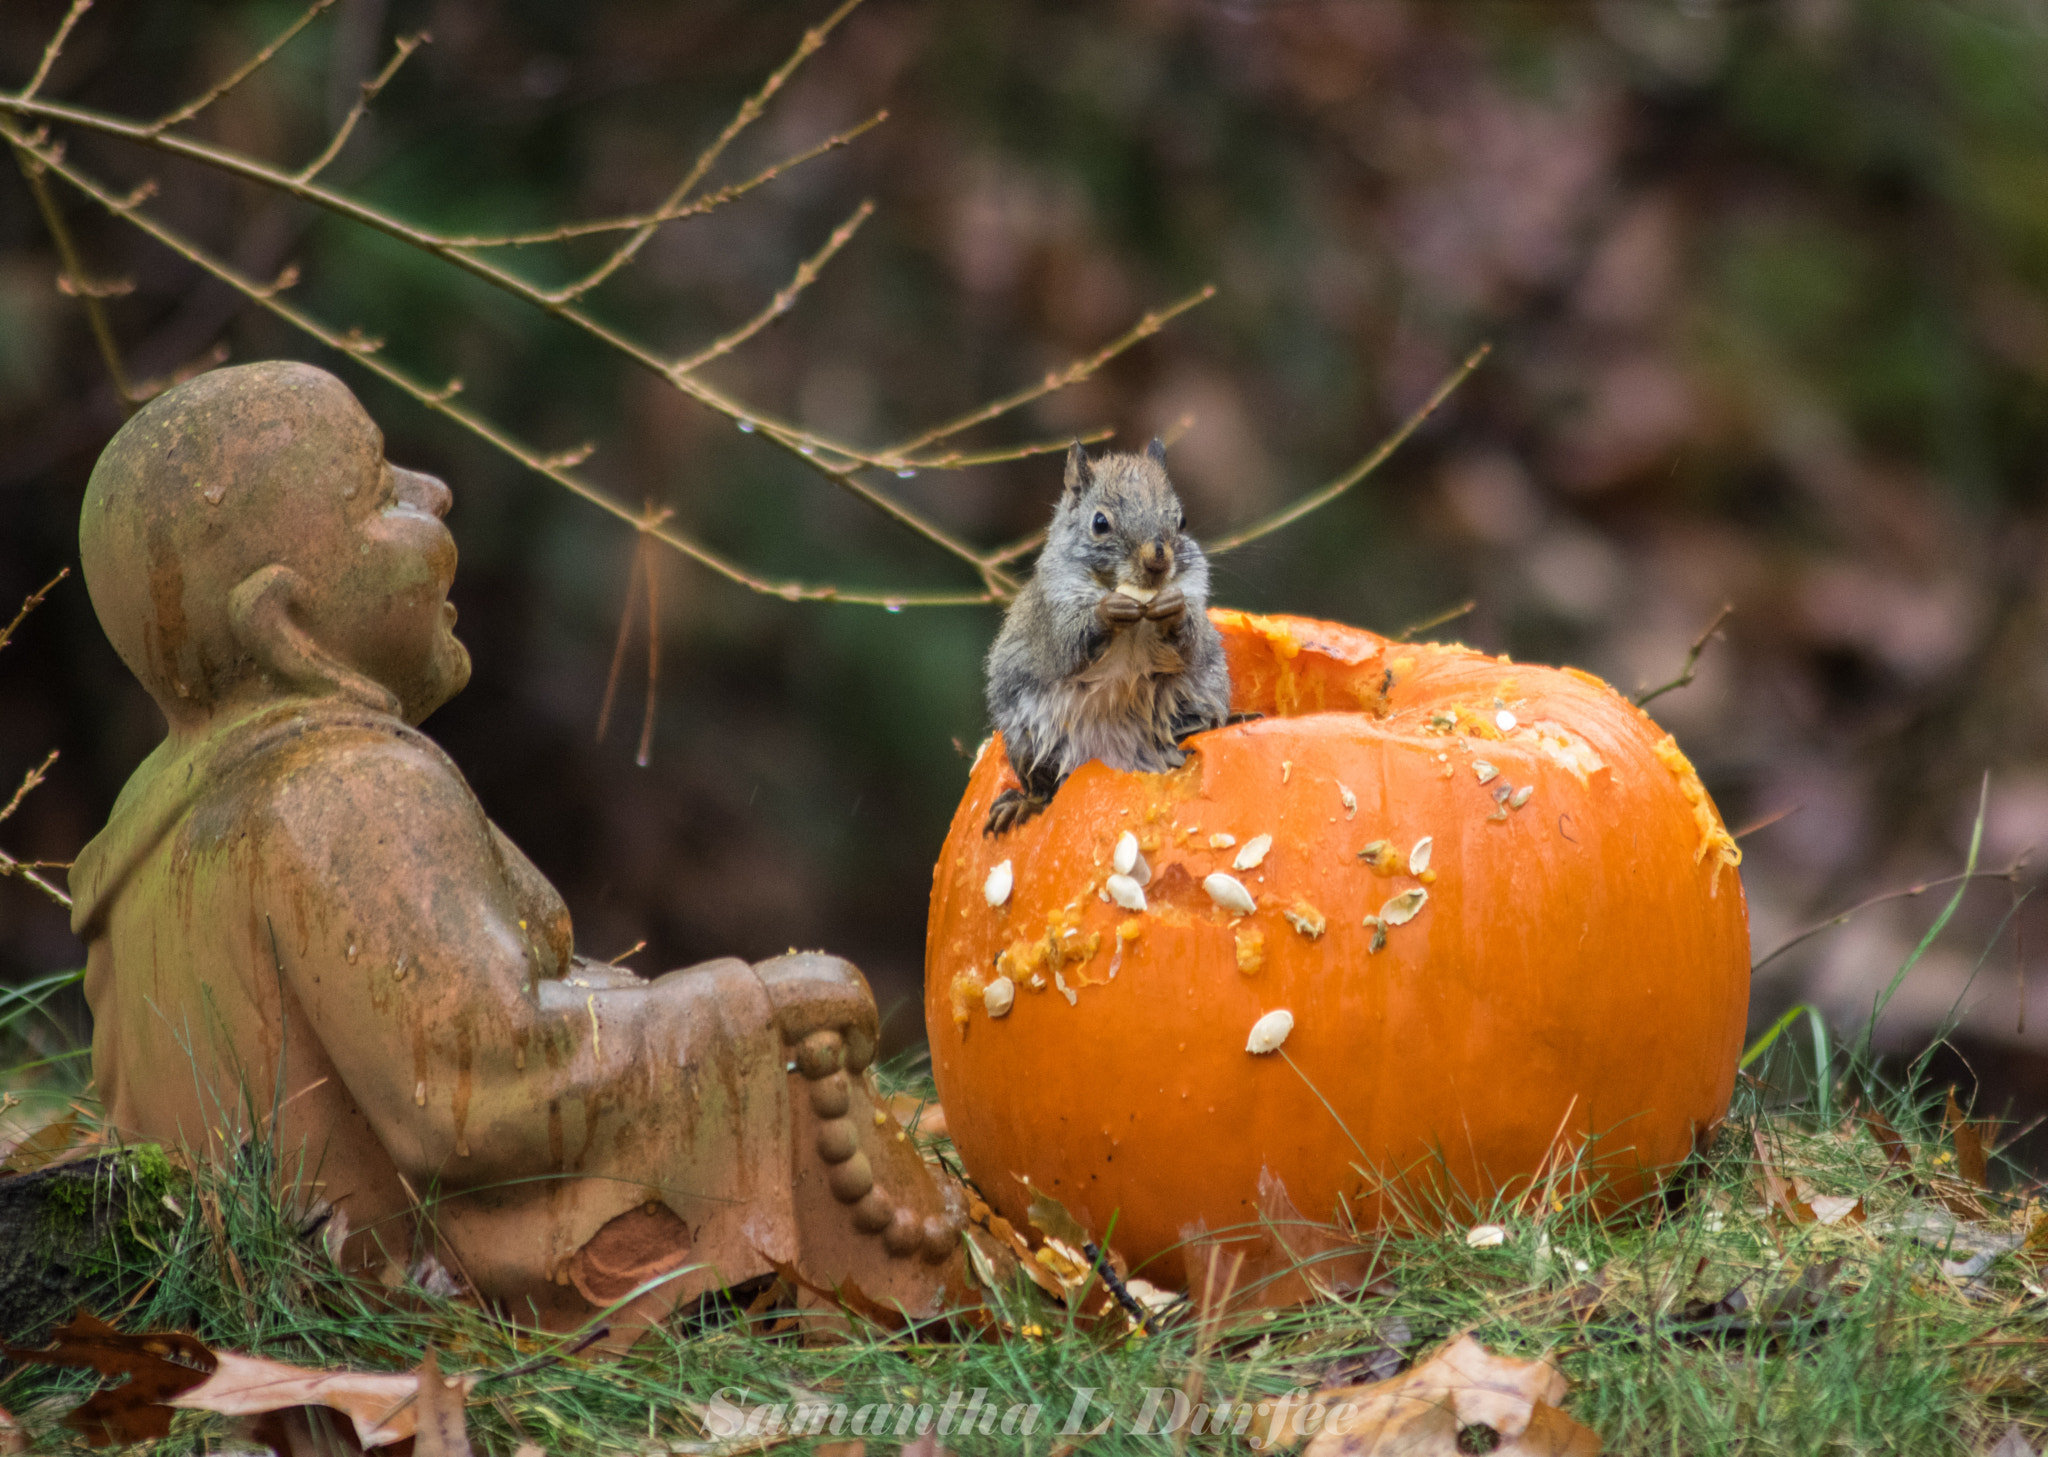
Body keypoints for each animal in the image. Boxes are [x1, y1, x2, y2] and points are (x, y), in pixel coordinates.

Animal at [983, 438, 1220, 836]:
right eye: (1100, 523)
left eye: (1181, 520)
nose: (1157, 561)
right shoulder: (1052, 620)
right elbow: (1068, 646)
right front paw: (1108, 611)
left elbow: (1193, 645)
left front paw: (1174, 610)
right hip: (1027, 738)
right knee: (1042, 787)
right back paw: (1024, 803)